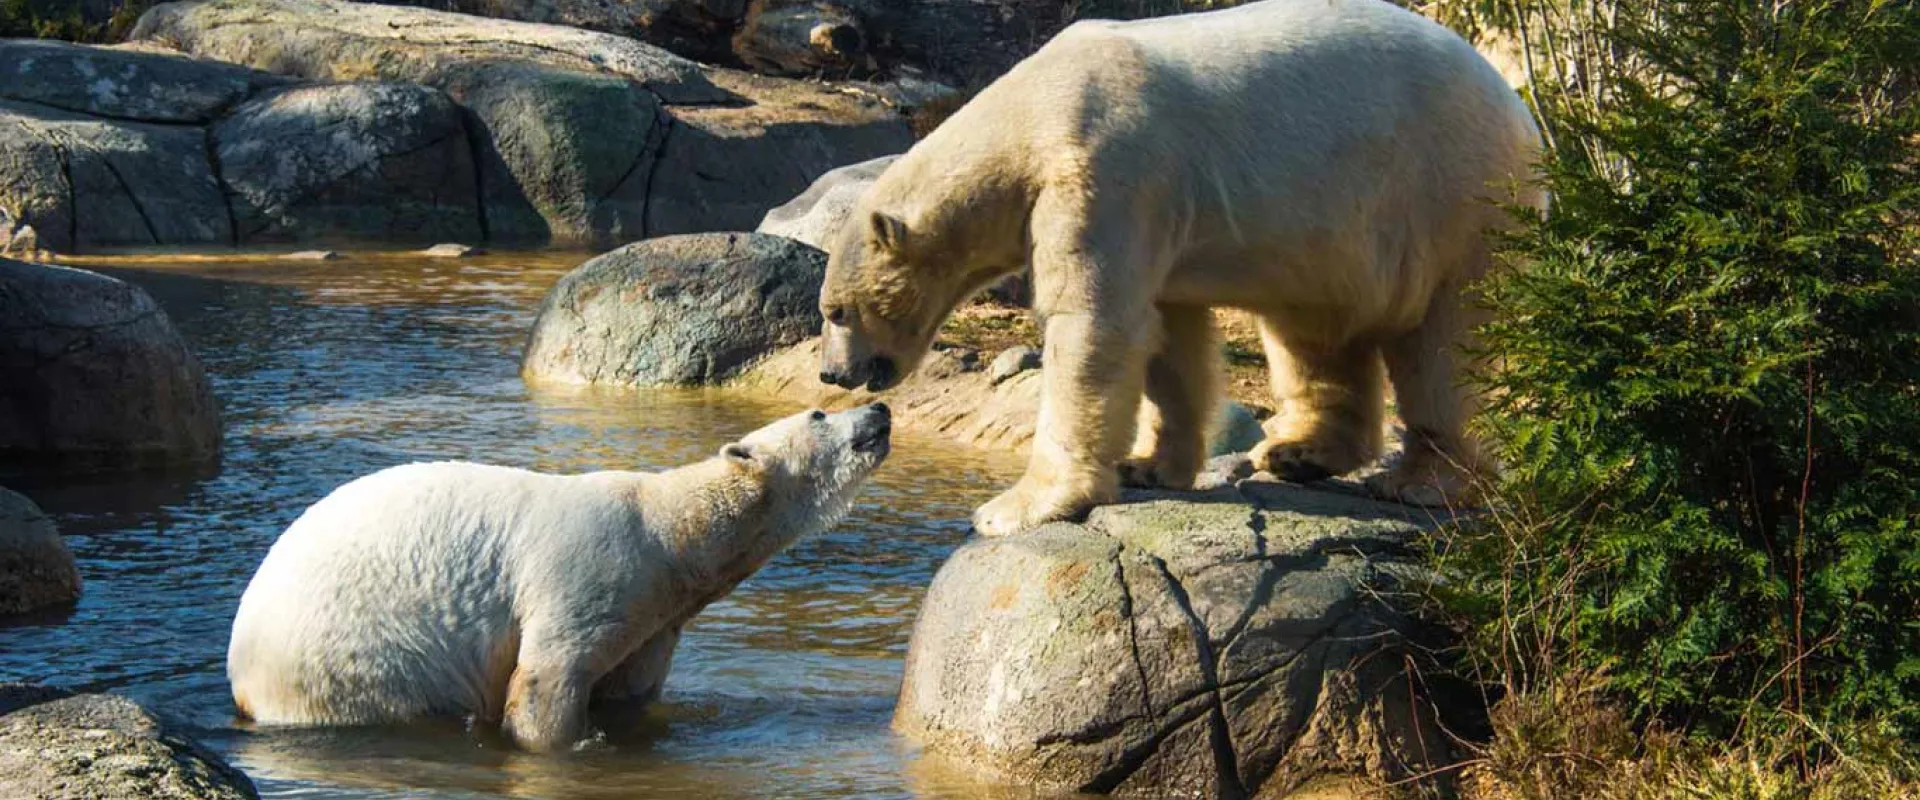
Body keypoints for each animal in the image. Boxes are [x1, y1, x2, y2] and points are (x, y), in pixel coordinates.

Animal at [226, 403, 892, 752]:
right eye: (819, 412)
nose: (880, 409)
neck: (672, 532)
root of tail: (242, 676)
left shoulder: (657, 617)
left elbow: (629, 688)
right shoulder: (597, 570)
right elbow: (548, 676)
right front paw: (567, 744)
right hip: (358, 656)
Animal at [815, 0, 1547, 536]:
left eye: (835, 310)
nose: (831, 372)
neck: (1029, 112)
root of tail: (1522, 112)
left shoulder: (1104, 172)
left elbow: (1094, 324)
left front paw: (1015, 507)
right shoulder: (1154, 211)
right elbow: (1169, 338)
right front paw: (1149, 466)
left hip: (1451, 195)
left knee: (1444, 343)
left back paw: (1425, 481)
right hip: (1341, 228)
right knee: (1316, 331)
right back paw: (1299, 452)